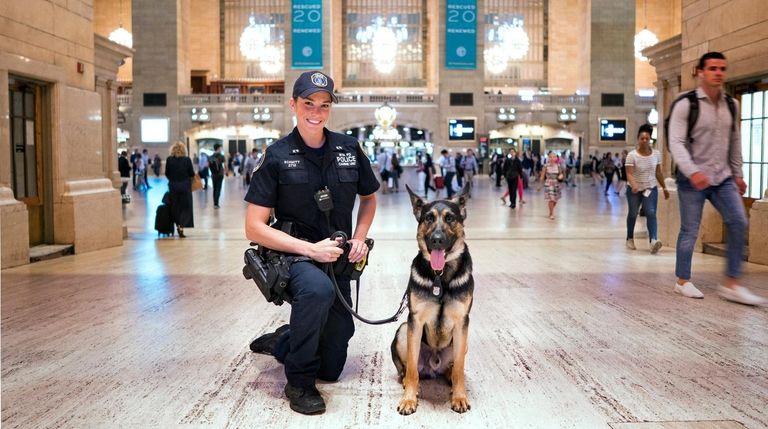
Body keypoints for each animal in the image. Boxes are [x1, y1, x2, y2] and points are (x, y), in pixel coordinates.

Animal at [392, 184, 472, 414]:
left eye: (450, 218)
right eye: (428, 218)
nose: (436, 239)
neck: (441, 277)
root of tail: (433, 367)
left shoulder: (462, 322)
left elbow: (460, 368)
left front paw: (459, 396)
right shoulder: (415, 322)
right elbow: (411, 369)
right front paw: (408, 399)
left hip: (464, 341)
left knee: (453, 368)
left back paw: (450, 379)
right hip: (403, 330)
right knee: (408, 371)